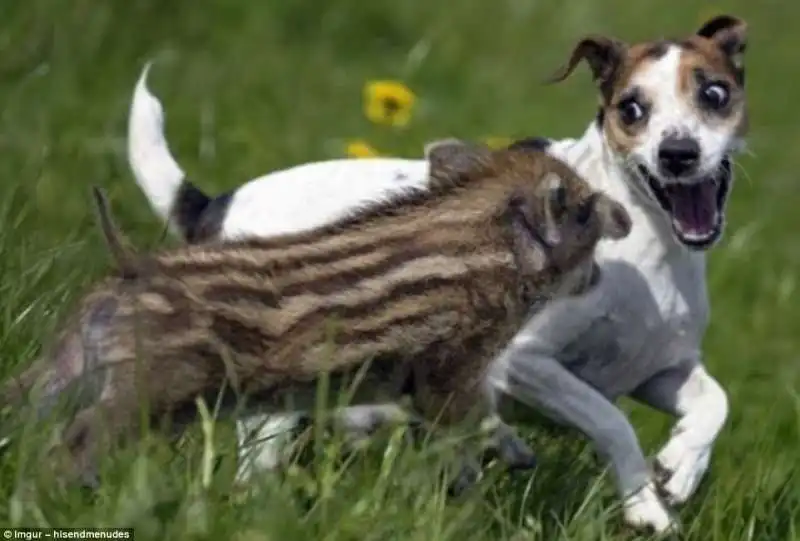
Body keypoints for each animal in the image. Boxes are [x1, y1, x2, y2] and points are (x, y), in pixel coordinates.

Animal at [126, 13, 752, 532]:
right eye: (631, 108)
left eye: (714, 94)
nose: (678, 154)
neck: (653, 243)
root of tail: (216, 207)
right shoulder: (525, 361)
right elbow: (609, 420)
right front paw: (645, 503)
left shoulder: (657, 369)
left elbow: (714, 401)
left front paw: (682, 465)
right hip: (269, 408)